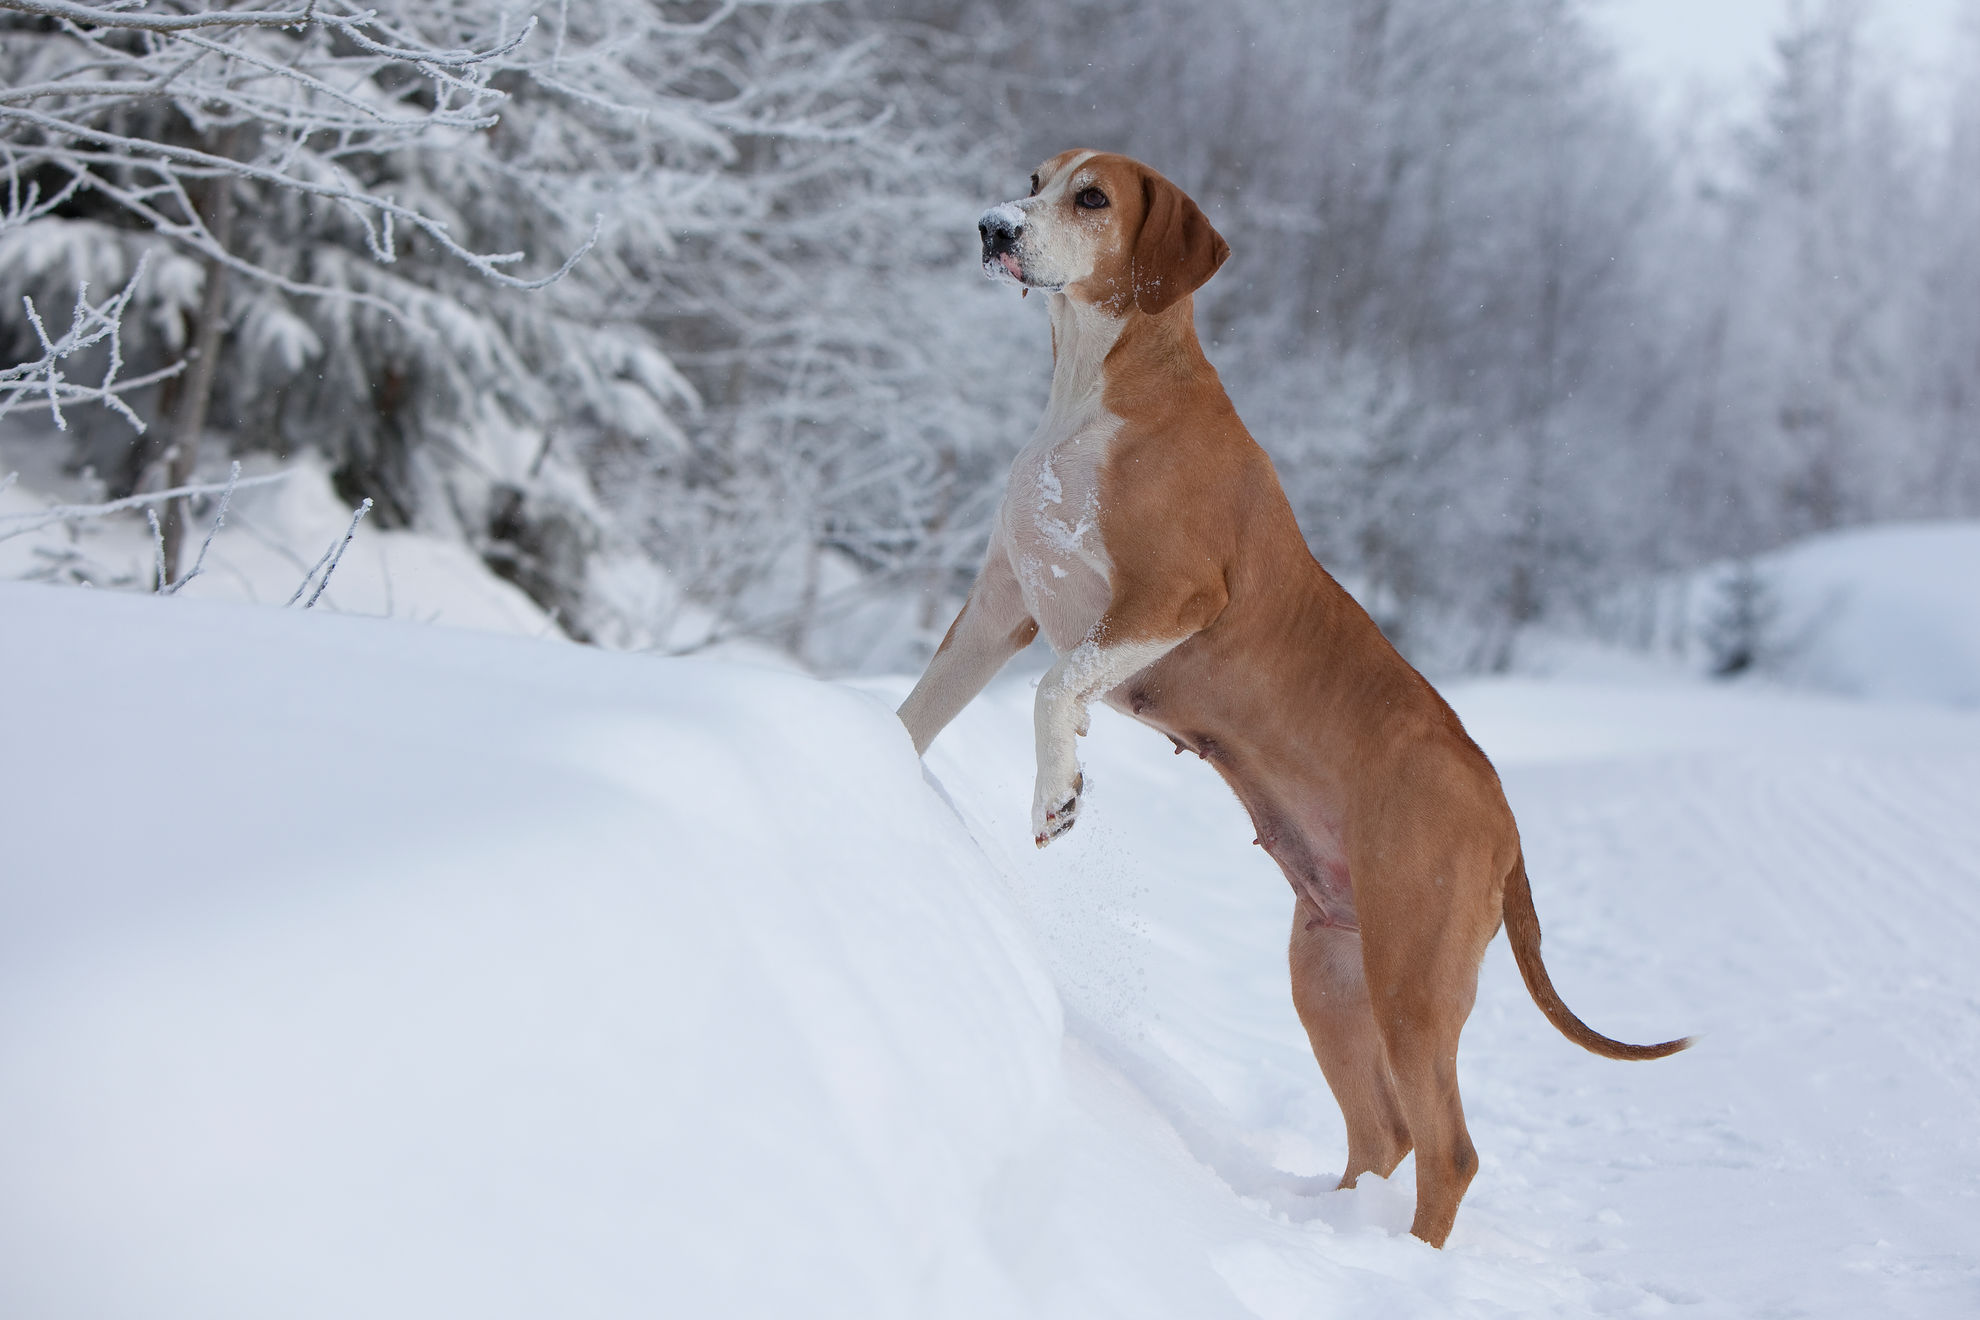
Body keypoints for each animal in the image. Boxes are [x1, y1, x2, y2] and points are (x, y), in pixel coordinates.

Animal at [898, 152, 1686, 1250]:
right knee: (1381, 1134)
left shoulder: (1175, 598)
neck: (1092, 392)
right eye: (1035, 176)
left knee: (1446, 1151)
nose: (992, 228)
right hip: (1329, 971)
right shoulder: (1001, 608)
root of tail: (1503, 817)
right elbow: (921, 711)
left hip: (1411, 980)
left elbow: (1058, 689)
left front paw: (1058, 793)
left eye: (1092, 199)